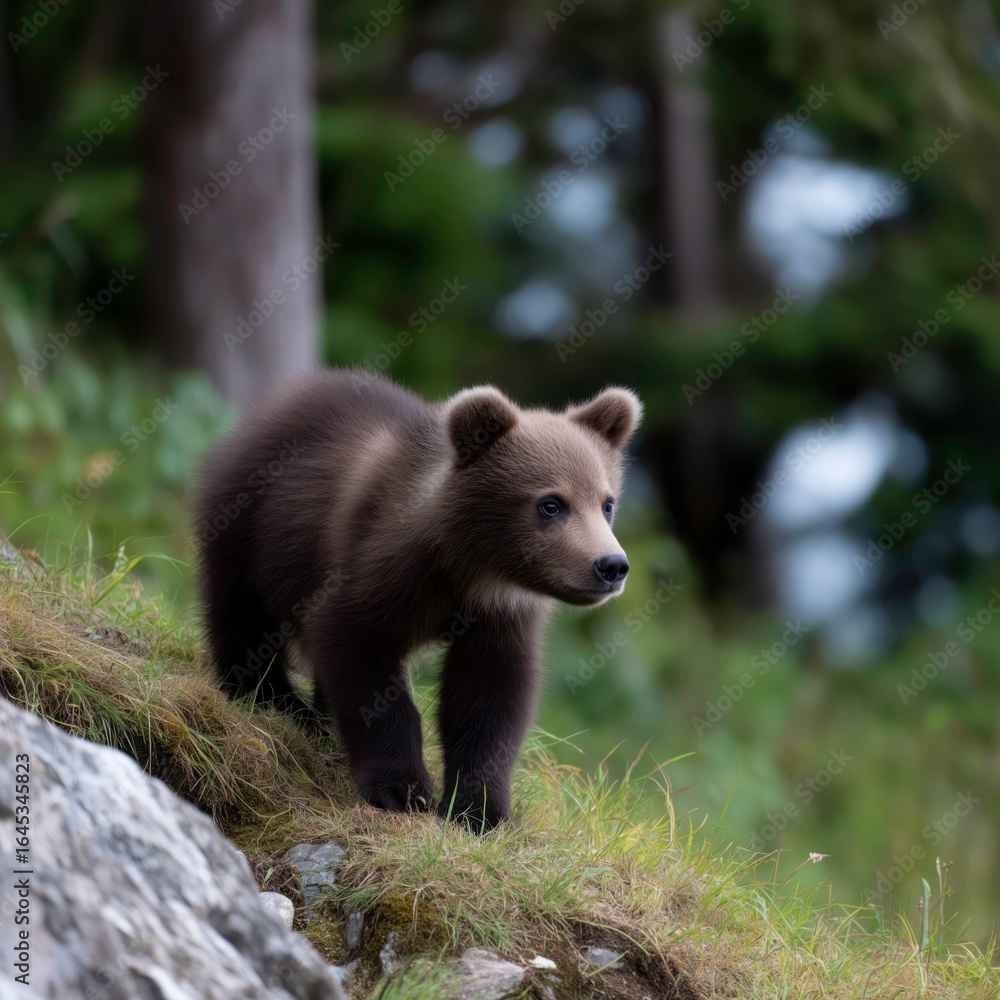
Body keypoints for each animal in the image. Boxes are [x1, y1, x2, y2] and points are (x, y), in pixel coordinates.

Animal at [193, 368, 642, 829]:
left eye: (607, 503)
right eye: (551, 504)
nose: (611, 565)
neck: (469, 567)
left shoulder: (498, 615)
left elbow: (489, 698)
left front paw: (479, 807)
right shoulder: (374, 567)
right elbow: (357, 654)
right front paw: (401, 789)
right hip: (251, 527)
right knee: (242, 616)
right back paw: (273, 702)